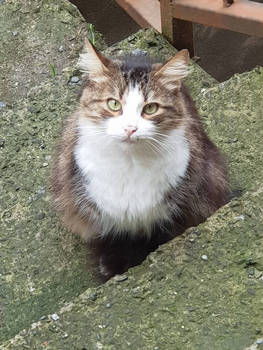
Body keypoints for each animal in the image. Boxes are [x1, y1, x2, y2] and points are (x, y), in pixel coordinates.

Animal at [51, 38, 229, 278]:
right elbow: (109, 240)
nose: (130, 128)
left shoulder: (175, 210)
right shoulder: (98, 213)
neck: (130, 163)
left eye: (150, 108)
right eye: (113, 104)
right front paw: (111, 266)